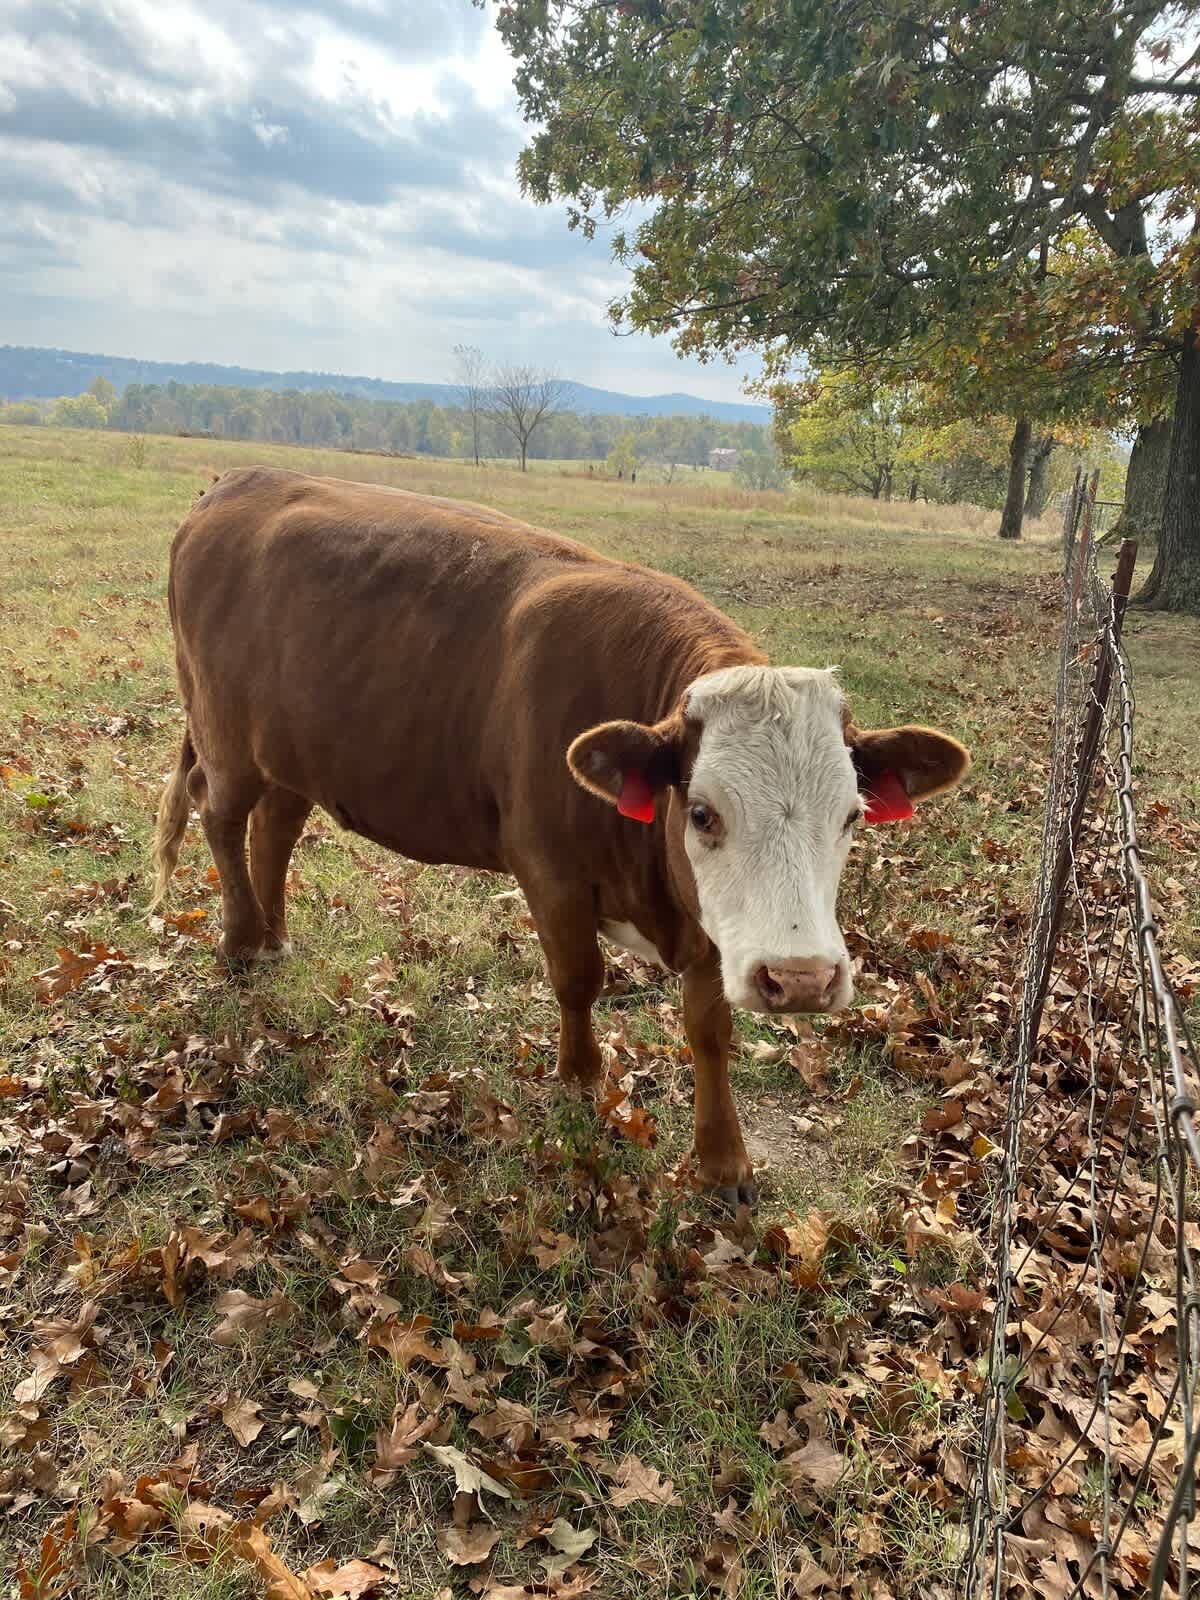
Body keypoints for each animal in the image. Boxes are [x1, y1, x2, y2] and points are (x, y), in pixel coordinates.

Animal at [151, 467, 969, 1205]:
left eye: (852, 815)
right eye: (702, 812)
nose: (800, 979)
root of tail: (237, 482)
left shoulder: (710, 922)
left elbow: (709, 1029)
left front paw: (723, 1162)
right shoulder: (551, 872)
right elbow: (579, 980)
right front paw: (579, 1081)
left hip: (294, 754)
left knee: (275, 829)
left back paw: (275, 939)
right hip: (223, 733)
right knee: (221, 817)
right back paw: (240, 944)